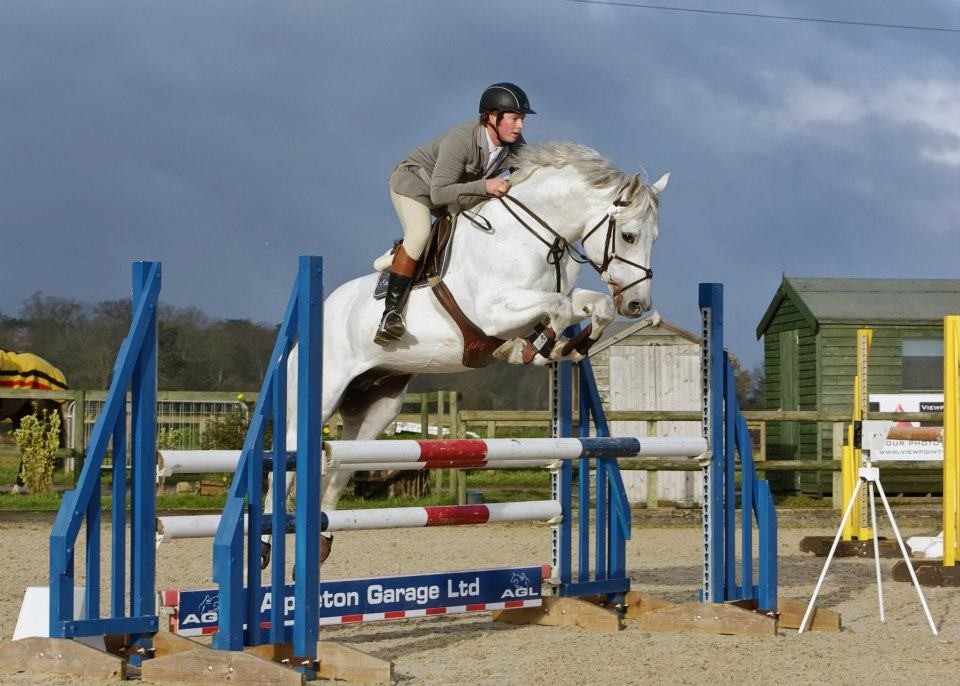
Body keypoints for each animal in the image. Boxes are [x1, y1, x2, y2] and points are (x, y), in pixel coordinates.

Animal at [281, 141, 669, 514]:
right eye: (629, 236)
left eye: (655, 238)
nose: (638, 305)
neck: (533, 238)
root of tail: (323, 310)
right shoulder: (493, 311)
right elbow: (555, 310)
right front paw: (532, 349)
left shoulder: (558, 297)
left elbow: (595, 306)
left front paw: (568, 346)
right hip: (324, 393)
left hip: (376, 407)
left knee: (337, 473)